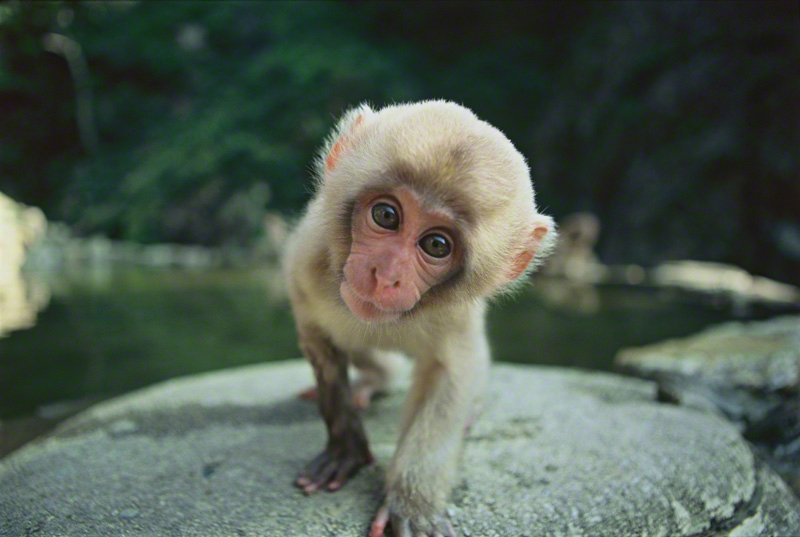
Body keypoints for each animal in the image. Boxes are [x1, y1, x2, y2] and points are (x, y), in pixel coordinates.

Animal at [283, 100, 555, 537]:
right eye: (386, 215)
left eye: (437, 245)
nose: (386, 274)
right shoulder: (306, 260)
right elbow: (317, 337)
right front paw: (346, 446)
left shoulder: (458, 316)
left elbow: (451, 374)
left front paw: (413, 501)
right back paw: (374, 381)